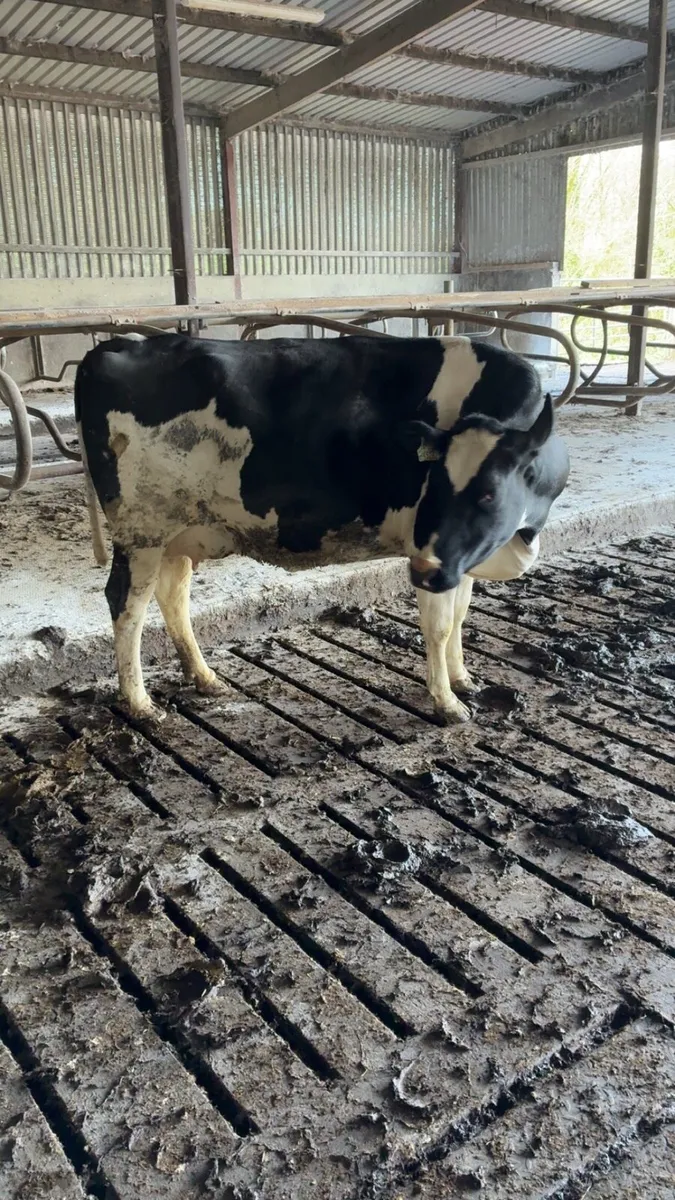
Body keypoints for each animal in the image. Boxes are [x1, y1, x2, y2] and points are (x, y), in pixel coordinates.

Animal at [75, 333, 569, 724]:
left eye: (488, 494)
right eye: (434, 484)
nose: (426, 571)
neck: (523, 534)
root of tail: (117, 345)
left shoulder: (461, 556)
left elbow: (462, 613)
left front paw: (462, 678)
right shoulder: (432, 550)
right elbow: (441, 626)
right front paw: (447, 703)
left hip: (178, 530)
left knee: (172, 596)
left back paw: (205, 677)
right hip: (142, 530)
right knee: (127, 606)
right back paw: (140, 703)